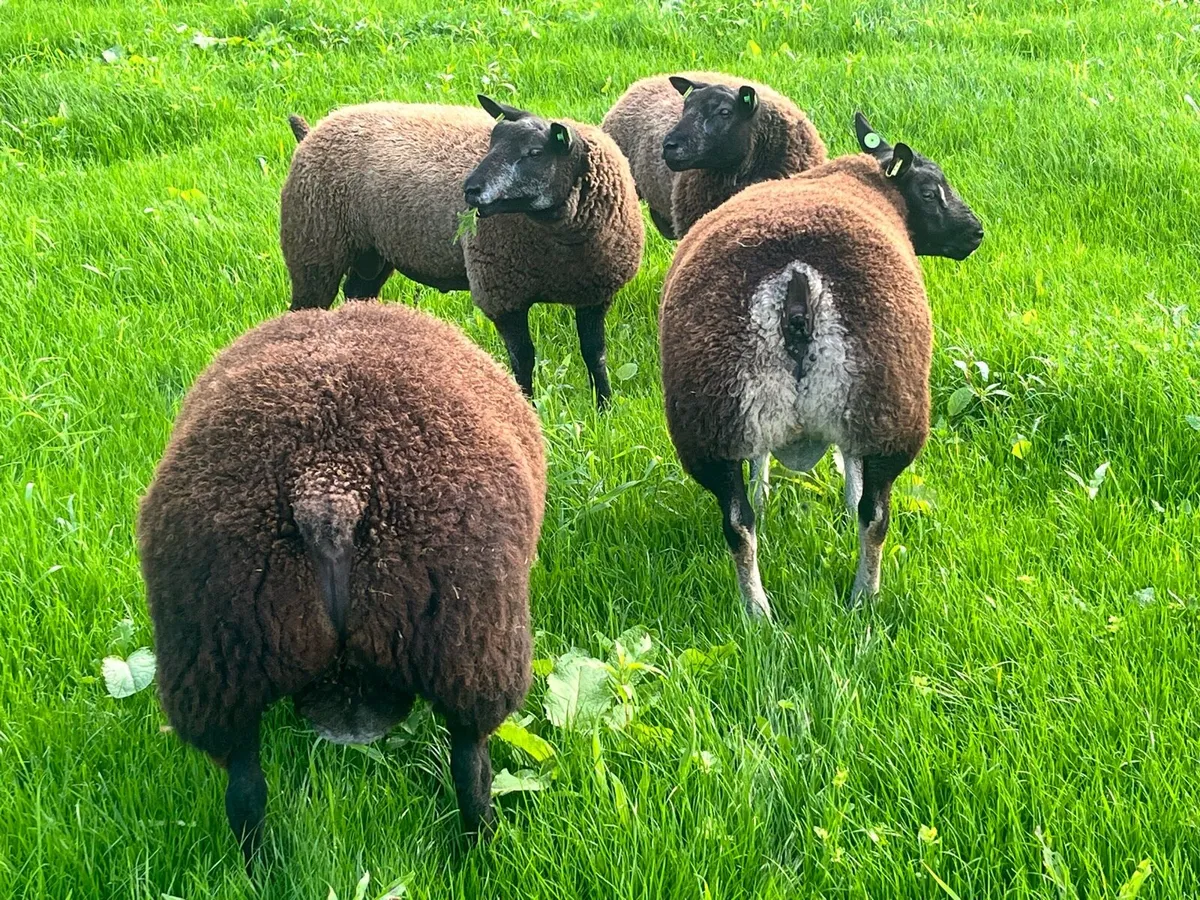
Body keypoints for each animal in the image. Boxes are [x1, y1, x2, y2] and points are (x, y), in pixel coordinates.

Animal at [138, 301, 546, 868]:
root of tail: (328, 490)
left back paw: (258, 871)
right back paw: (479, 853)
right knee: (471, 769)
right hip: (473, 646)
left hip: (216, 661)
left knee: (244, 792)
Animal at [280, 96, 644, 408]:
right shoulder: (502, 293)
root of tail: (317, 126)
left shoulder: (595, 292)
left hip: (372, 253)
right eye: (492, 142)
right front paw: (527, 407)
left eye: (534, 152)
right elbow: (524, 359)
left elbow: (594, 352)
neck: (562, 246)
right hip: (314, 247)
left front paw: (604, 407)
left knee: (357, 293)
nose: (470, 189)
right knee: (304, 308)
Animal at [659, 113, 984, 619]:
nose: (976, 233)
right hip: (890, 404)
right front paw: (845, 501)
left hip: (711, 417)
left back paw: (757, 613)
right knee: (876, 517)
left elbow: (760, 464)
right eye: (931, 190)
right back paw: (863, 598)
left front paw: (764, 492)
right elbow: (850, 467)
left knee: (737, 523)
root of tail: (796, 282)